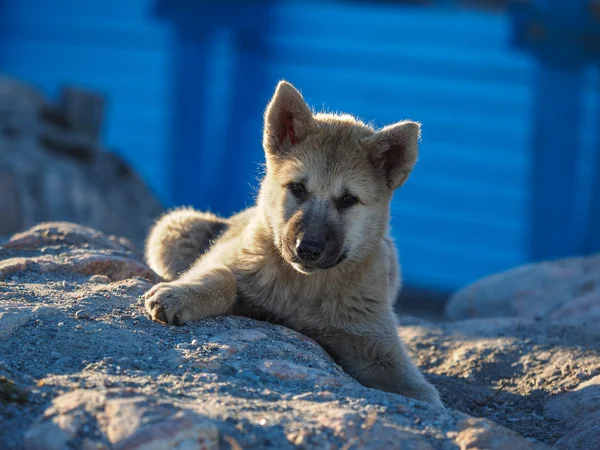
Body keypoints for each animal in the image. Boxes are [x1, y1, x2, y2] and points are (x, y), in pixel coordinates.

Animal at [144, 81, 446, 408]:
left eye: (348, 200)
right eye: (298, 188)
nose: (308, 249)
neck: (303, 289)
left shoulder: (377, 345)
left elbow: (423, 392)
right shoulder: (227, 263)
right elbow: (222, 276)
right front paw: (181, 295)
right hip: (171, 230)